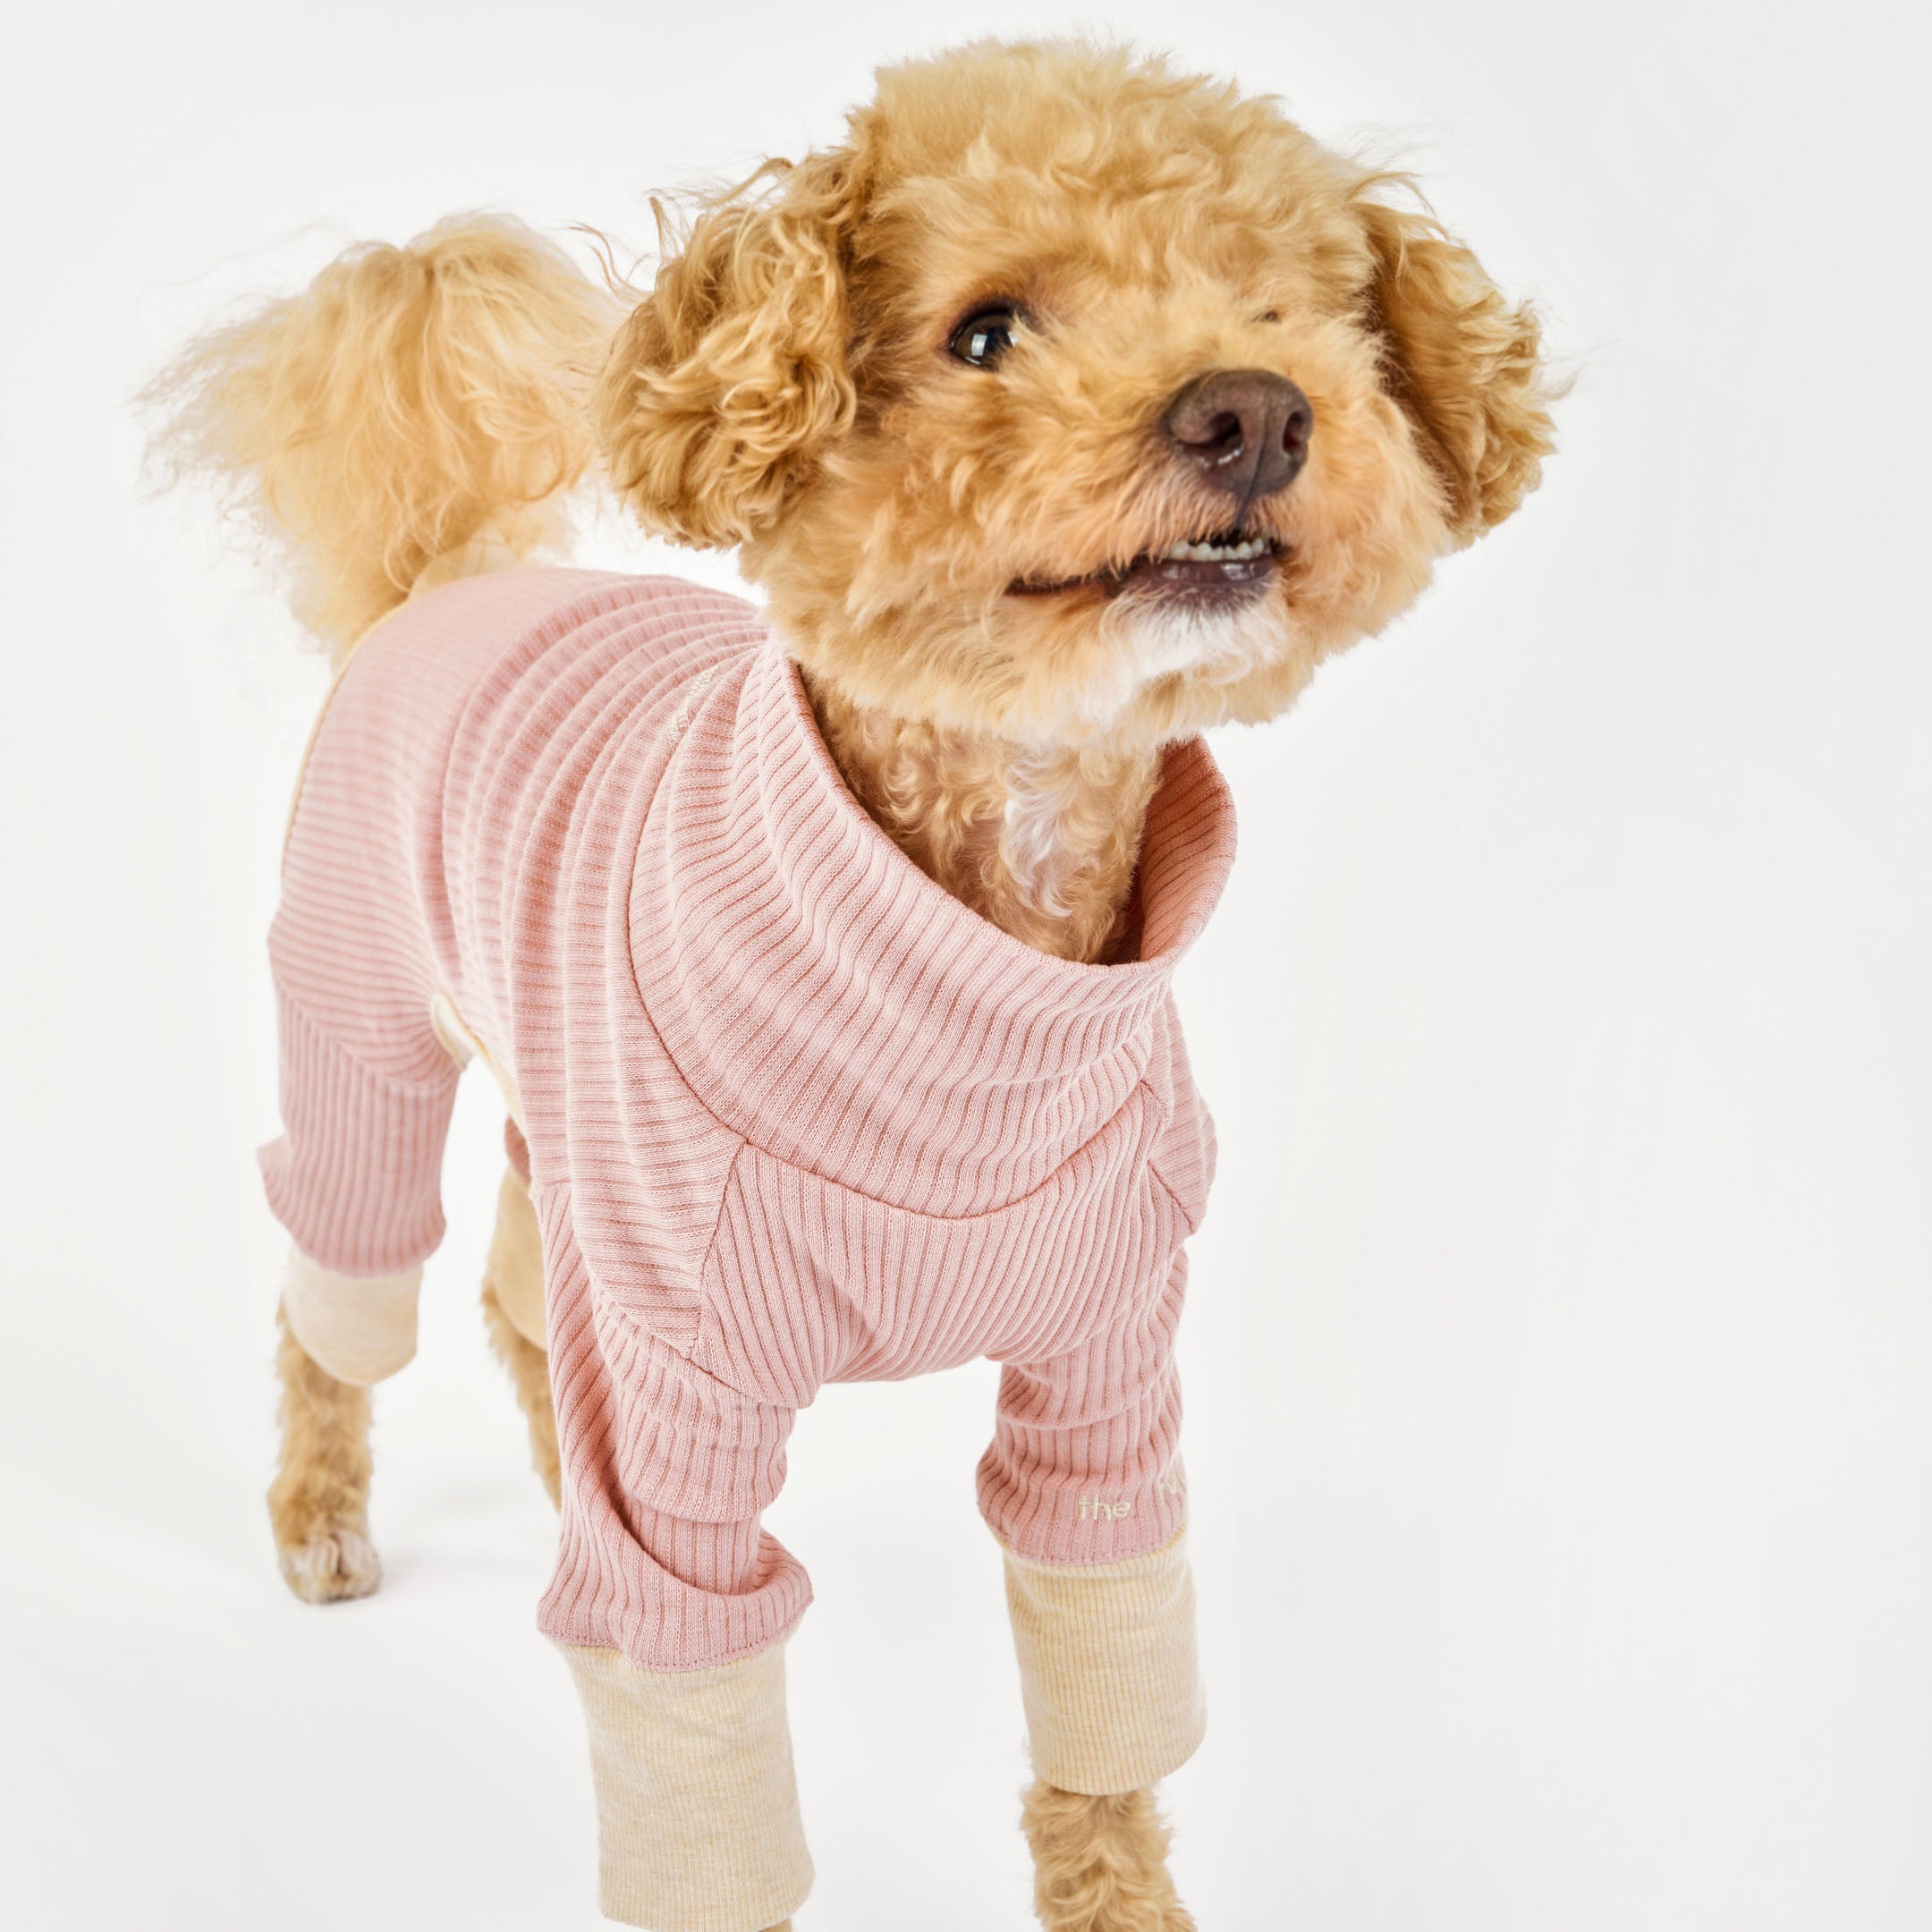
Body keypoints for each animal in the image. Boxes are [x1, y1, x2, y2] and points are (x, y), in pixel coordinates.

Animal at [147, 34, 1553, 1932]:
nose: (1254, 411)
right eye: (985, 332)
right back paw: (318, 1513)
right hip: (361, 1039)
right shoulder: (681, 1392)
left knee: (521, 1288)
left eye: (1289, 307)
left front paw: (1122, 1902)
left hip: (556, 1123)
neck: (969, 974)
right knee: (343, 1289)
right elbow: (697, 1740)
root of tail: (440, 579)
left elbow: (1106, 1691)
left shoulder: (1109, 1378)